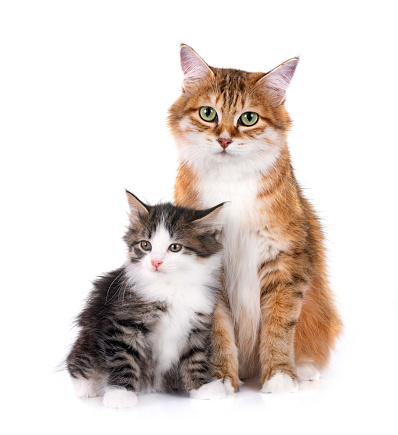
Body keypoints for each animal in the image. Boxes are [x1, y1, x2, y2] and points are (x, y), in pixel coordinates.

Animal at [67, 191, 225, 408]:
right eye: (145, 245)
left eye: (175, 247)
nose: (155, 262)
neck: (171, 286)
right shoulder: (124, 323)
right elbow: (124, 359)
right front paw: (120, 394)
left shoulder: (197, 325)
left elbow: (195, 357)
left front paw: (203, 387)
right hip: (87, 342)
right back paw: (88, 387)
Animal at [169, 45, 342, 396]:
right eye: (208, 113)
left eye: (248, 118)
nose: (224, 140)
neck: (231, 185)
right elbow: (219, 334)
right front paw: (220, 380)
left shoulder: (286, 263)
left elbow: (279, 327)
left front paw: (280, 378)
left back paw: (304, 370)